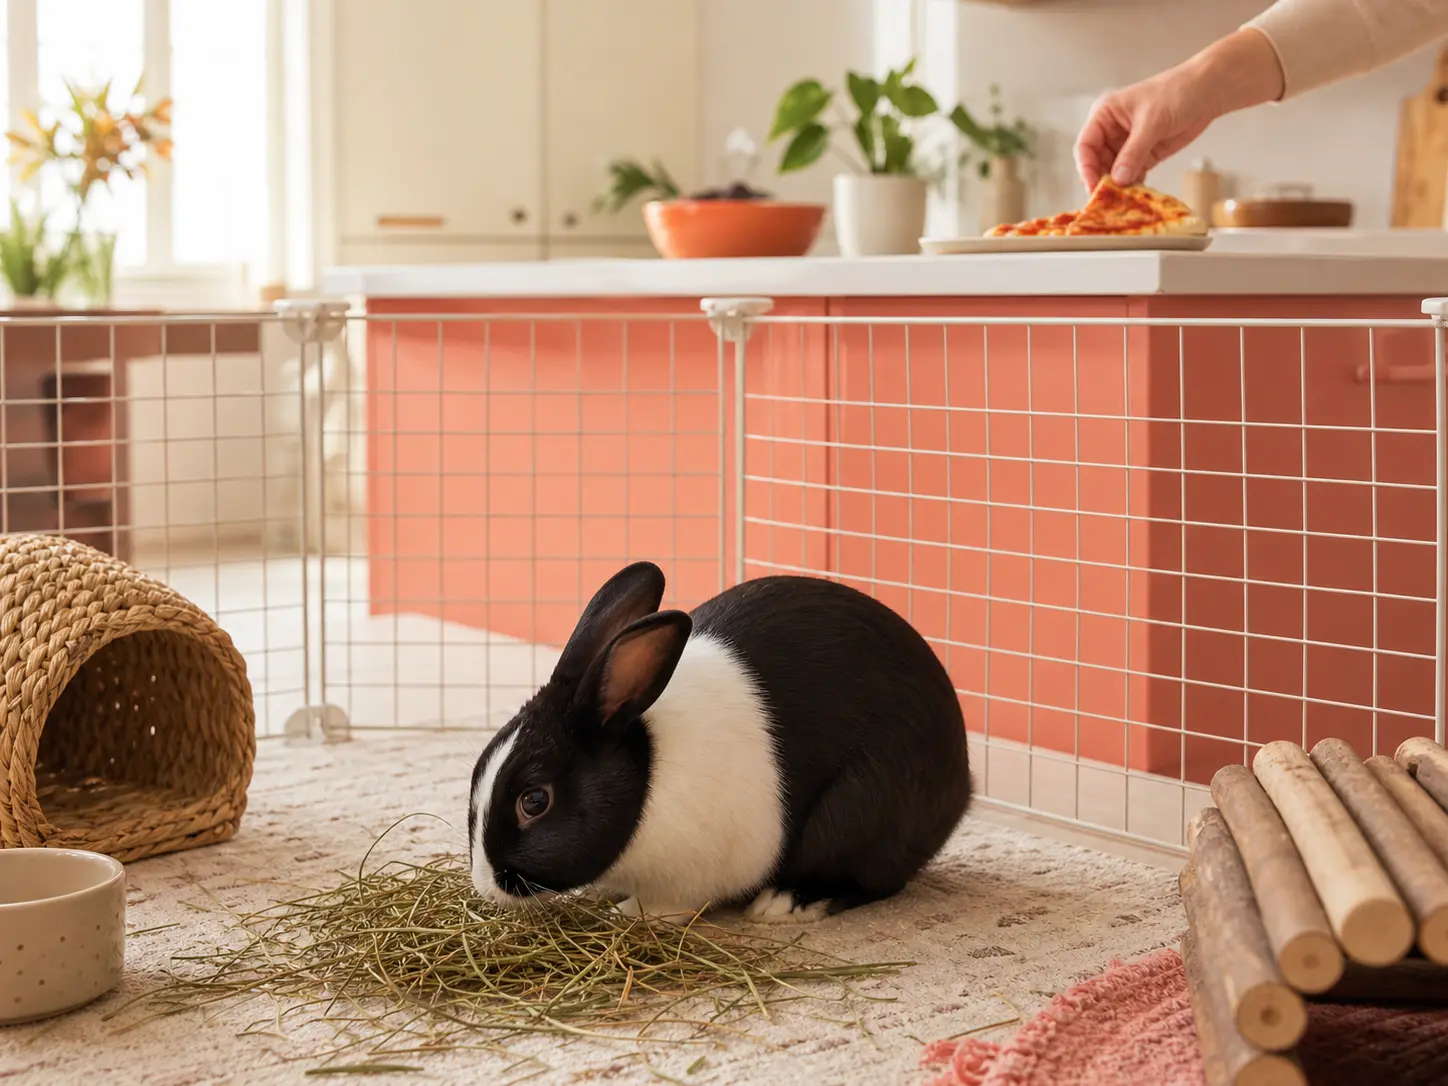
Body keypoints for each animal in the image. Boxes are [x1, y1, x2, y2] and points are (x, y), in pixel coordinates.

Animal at [468, 561, 972, 923]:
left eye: (534, 801)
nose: (486, 885)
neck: (648, 773)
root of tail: (962, 783)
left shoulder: (689, 876)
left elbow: (667, 905)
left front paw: (625, 913)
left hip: (863, 810)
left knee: (872, 880)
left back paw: (785, 903)